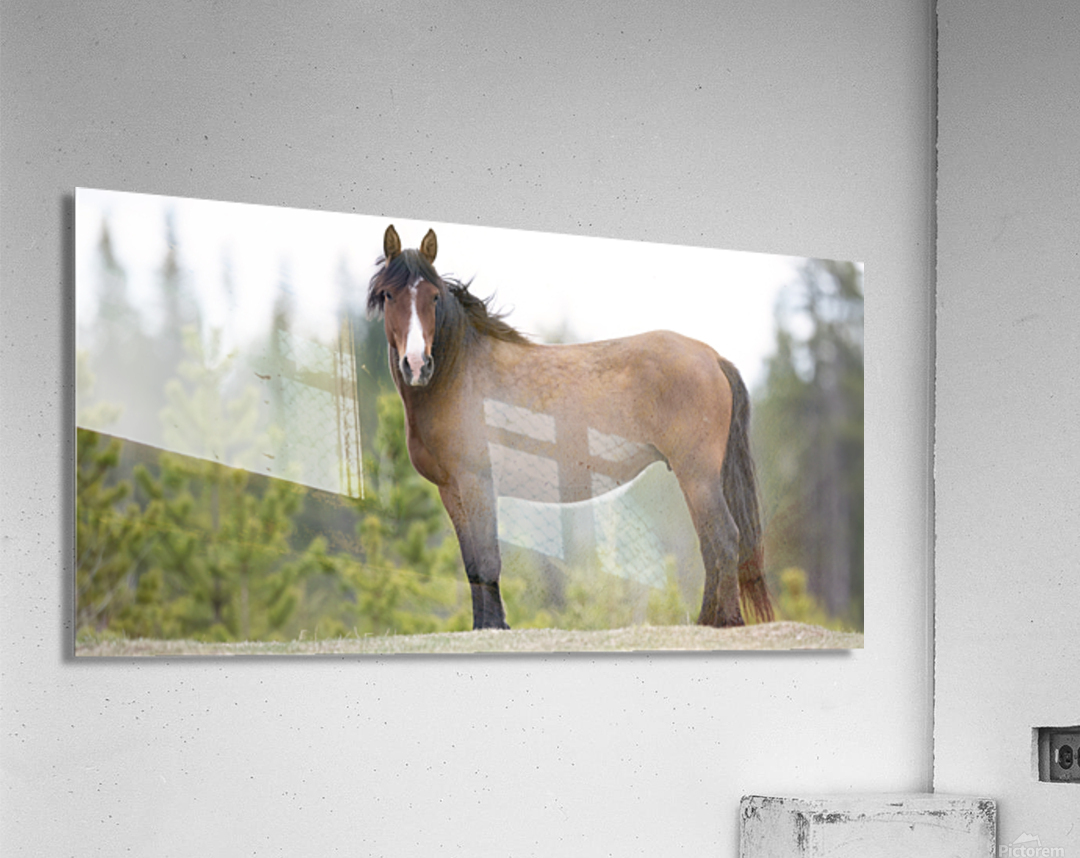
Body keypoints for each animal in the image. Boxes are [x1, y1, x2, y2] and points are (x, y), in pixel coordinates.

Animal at [367, 224, 773, 631]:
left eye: (434, 297)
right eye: (389, 295)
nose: (417, 365)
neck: (461, 373)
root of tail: (712, 357)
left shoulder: (476, 481)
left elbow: (486, 560)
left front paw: (495, 628)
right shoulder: (452, 490)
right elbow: (473, 564)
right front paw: (485, 627)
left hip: (697, 475)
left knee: (722, 539)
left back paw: (721, 621)